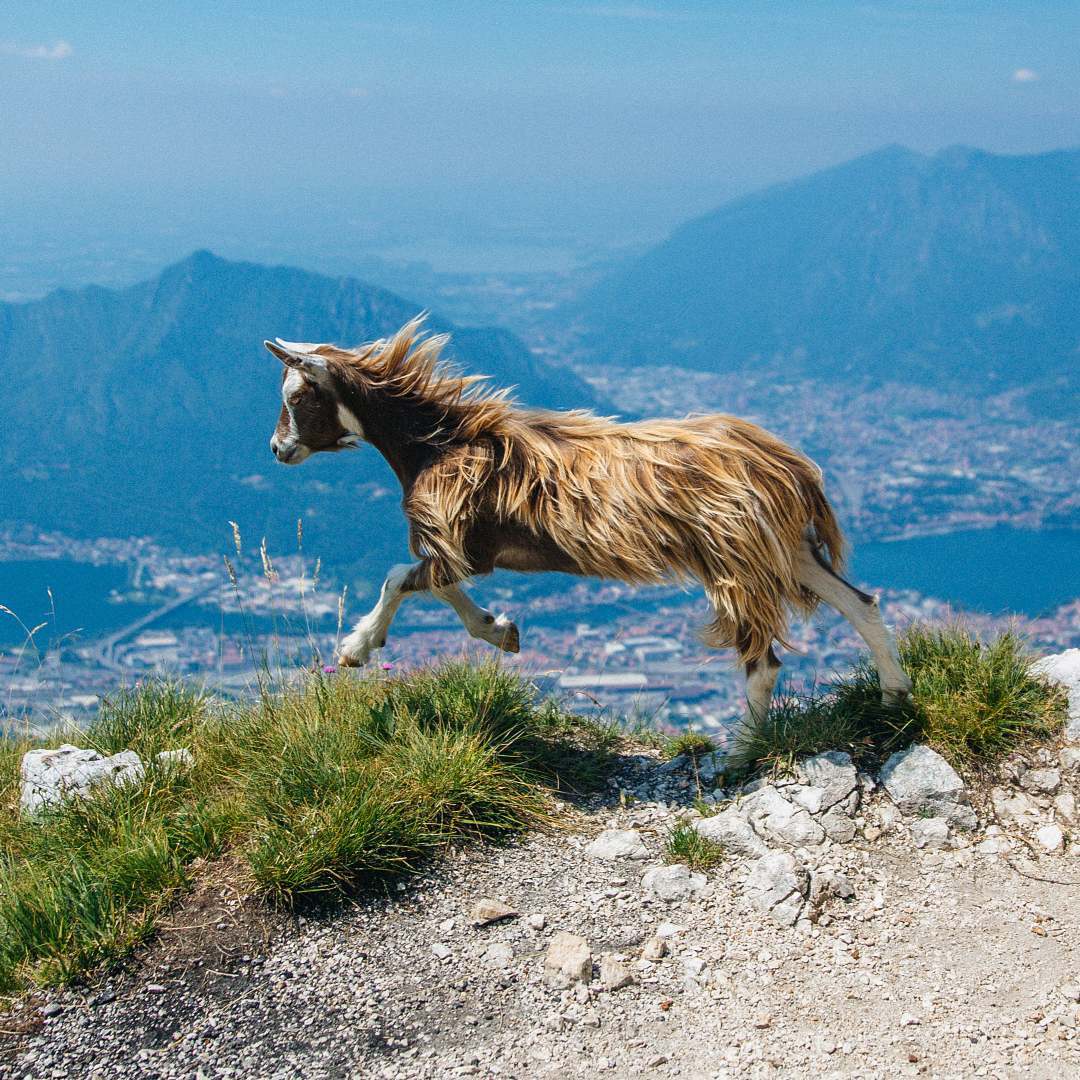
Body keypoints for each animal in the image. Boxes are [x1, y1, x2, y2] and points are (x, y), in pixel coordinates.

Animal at [263, 315, 911, 730]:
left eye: (297, 397)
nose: (276, 449)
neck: (438, 443)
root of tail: (786, 468)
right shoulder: (470, 550)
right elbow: (437, 588)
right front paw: (503, 630)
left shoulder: (463, 544)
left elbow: (402, 577)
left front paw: (356, 647)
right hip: (786, 548)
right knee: (861, 603)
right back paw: (894, 695)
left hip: (735, 555)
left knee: (764, 660)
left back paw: (740, 754)